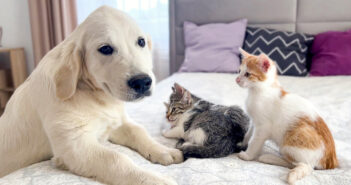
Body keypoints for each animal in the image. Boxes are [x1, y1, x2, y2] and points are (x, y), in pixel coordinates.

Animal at [0, 5, 183, 185]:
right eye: (105, 48)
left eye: (141, 41)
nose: (142, 82)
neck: (92, 94)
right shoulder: (75, 146)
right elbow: (116, 158)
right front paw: (154, 179)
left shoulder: (115, 123)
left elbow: (138, 131)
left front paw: (163, 150)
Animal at [236, 48, 338, 184]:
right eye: (239, 71)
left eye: (247, 74)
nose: (237, 79)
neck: (258, 91)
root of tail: (330, 162)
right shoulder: (254, 121)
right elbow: (248, 134)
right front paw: (242, 143)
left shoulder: (263, 127)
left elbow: (255, 141)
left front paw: (248, 155)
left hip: (291, 141)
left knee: (303, 165)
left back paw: (268, 158)